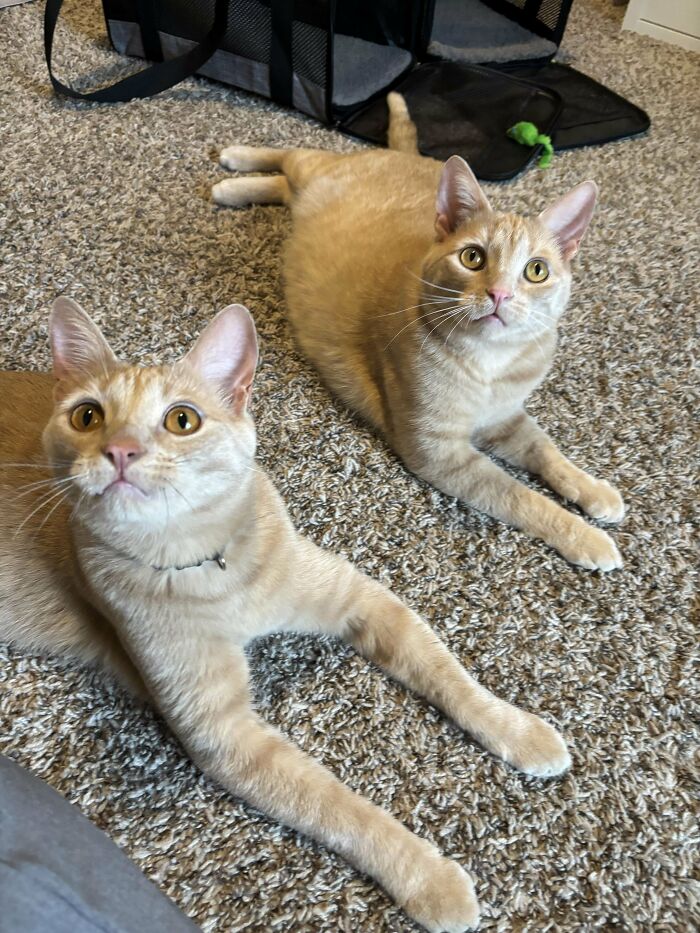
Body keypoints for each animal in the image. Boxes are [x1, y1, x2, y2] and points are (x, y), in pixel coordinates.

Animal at [1, 296, 576, 932]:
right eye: (87, 417)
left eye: (182, 420)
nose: (120, 451)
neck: (205, 564)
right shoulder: (225, 734)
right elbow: (339, 807)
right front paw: (429, 878)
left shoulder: (363, 600)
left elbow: (451, 677)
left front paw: (521, 732)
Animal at [212, 96, 624, 576]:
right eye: (473, 257)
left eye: (536, 270)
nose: (499, 294)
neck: (489, 365)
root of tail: (411, 156)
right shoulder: (440, 454)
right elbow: (522, 497)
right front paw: (584, 536)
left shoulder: (506, 420)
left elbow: (548, 452)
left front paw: (593, 489)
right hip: (313, 170)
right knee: (292, 154)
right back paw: (235, 165)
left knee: (283, 184)